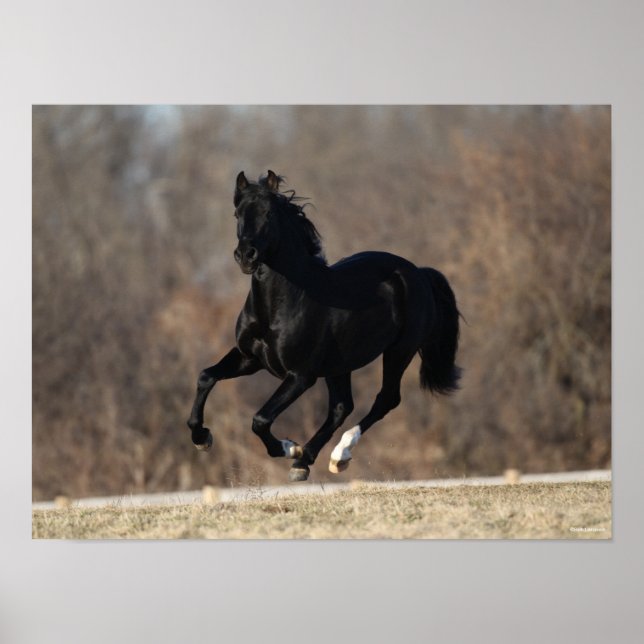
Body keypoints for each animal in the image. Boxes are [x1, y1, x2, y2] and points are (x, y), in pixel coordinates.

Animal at [187, 170, 461, 481]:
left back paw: (337, 454)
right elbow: (206, 377)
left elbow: (260, 419)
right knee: (342, 406)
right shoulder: (249, 358)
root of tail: (418, 273)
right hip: (340, 365)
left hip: (399, 351)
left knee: (386, 399)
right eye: (237, 213)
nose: (246, 256)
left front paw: (288, 447)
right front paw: (201, 438)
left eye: (269, 213)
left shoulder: (301, 376)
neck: (280, 306)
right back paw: (305, 461)